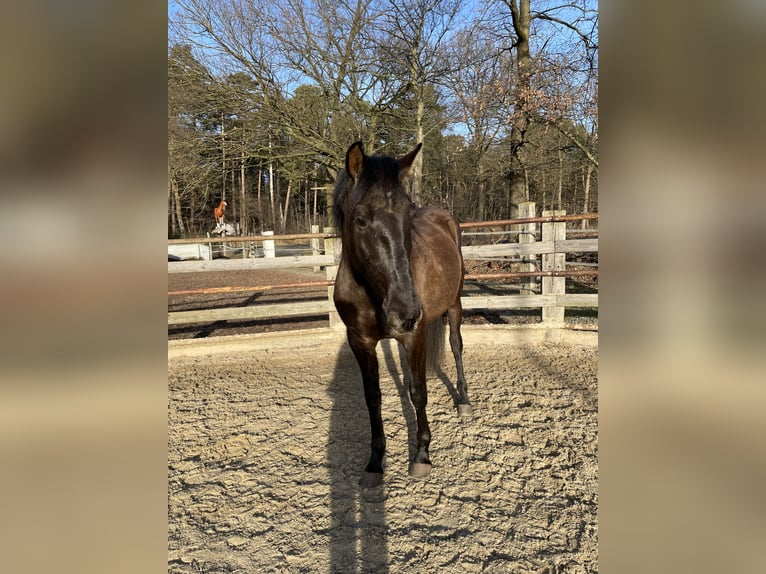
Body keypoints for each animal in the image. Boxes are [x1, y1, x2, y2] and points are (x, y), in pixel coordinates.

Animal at [333, 141, 472, 488]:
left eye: (408, 215)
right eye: (360, 219)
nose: (406, 310)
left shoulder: (415, 334)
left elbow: (420, 392)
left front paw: (421, 455)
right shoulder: (360, 341)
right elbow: (373, 397)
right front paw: (375, 462)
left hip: (454, 305)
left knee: (456, 346)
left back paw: (463, 401)